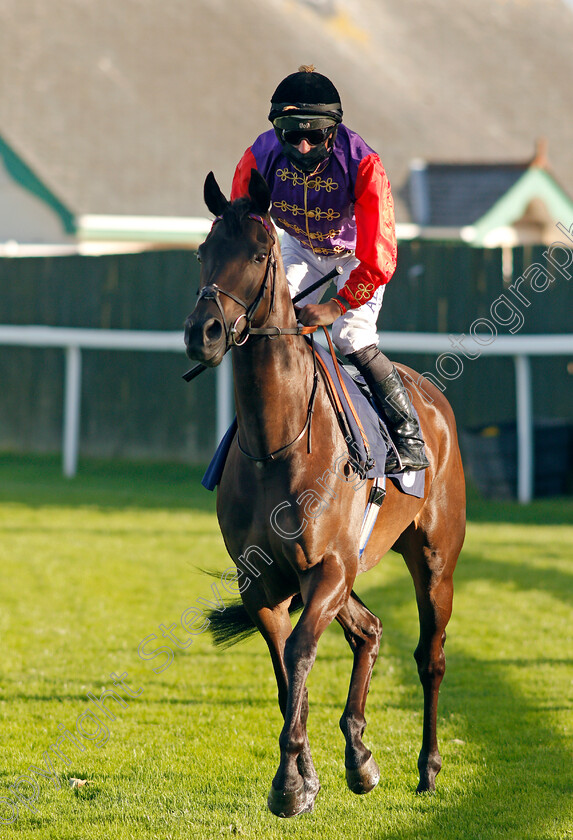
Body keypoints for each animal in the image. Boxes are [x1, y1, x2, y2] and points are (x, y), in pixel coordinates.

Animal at [183, 167, 464, 816]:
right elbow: (285, 671)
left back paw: (428, 766)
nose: (203, 333)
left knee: (429, 658)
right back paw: (359, 755)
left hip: (433, 559)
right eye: (204, 250)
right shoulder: (264, 581)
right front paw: (304, 775)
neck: (276, 442)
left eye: (258, 254)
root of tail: (432, 400)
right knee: (370, 630)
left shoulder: (328, 567)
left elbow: (299, 654)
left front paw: (290, 781)